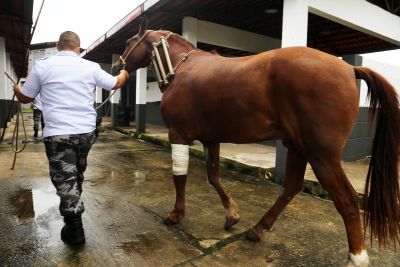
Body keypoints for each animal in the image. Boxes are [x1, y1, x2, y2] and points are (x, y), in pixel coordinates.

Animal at [112, 19, 400, 267]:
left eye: (128, 42)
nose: (116, 68)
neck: (181, 68)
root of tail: (349, 68)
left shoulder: (178, 135)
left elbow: (179, 178)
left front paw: (176, 215)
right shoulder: (211, 138)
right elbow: (214, 176)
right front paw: (232, 214)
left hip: (322, 155)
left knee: (347, 200)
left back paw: (357, 257)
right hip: (298, 147)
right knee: (291, 187)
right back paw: (258, 228)